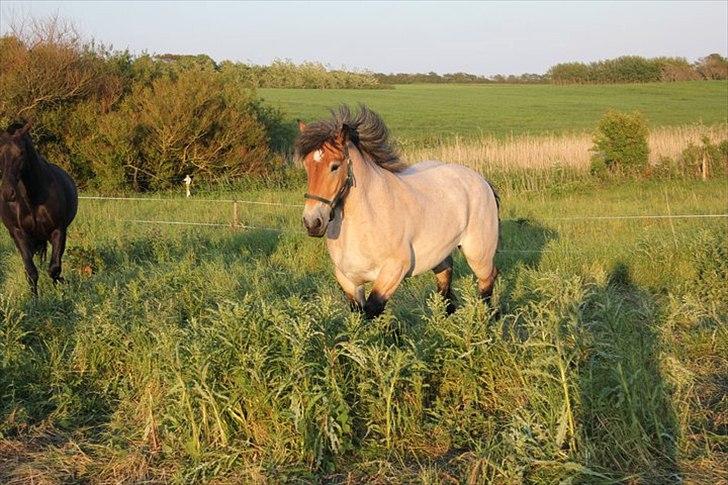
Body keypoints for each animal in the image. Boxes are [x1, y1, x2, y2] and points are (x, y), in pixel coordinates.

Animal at [0, 123, 78, 294]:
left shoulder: (58, 230)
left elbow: (54, 268)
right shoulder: (19, 234)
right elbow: (31, 271)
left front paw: (60, 290)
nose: (7, 192)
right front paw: (34, 298)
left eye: (21, 152)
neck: (33, 198)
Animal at [298, 106, 498, 318]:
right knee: (446, 275)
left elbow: (372, 310)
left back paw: (487, 317)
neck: (367, 220)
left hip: (478, 254)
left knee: (487, 280)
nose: (312, 222)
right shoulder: (349, 280)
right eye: (306, 166)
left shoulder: (393, 270)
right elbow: (359, 315)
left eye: (334, 166)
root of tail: (482, 181)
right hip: (440, 253)